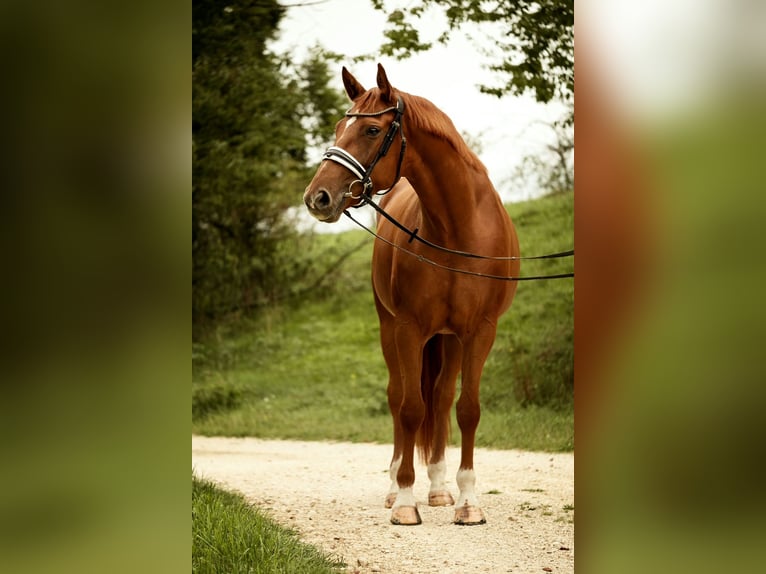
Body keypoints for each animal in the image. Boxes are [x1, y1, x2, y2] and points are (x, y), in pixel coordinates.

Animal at [303, 64, 520, 526]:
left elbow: (466, 409)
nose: (317, 198)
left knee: (440, 399)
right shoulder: (408, 329)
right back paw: (395, 489)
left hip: (449, 340)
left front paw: (469, 502)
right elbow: (409, 408)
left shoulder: (480, 331)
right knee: (399, 396)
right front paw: (404, 502)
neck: (458, 230)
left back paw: (438, 489)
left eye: (370, 129)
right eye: (338, 128)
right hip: (391, 329)